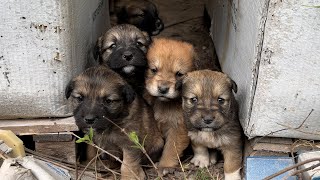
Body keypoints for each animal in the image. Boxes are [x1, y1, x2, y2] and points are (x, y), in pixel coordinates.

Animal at [144, 38, 195, 174]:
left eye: (179, 74)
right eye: (154, 70)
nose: (163, 89)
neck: (163, 104)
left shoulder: (177, 127)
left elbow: (171, 148)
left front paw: (165, 165)